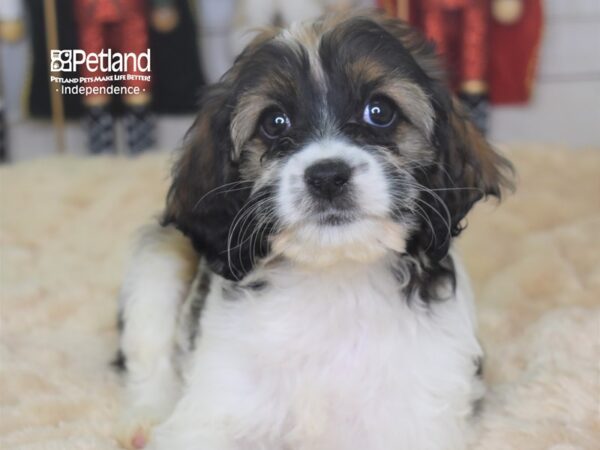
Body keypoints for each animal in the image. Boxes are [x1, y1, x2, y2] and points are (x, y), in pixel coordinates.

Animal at [115, 10, 512, 450]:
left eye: (380, 112)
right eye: (274, 123)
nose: (327, 177)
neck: (335, 279)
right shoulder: (216, 407)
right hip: (160, 258)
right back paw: (145, 416)